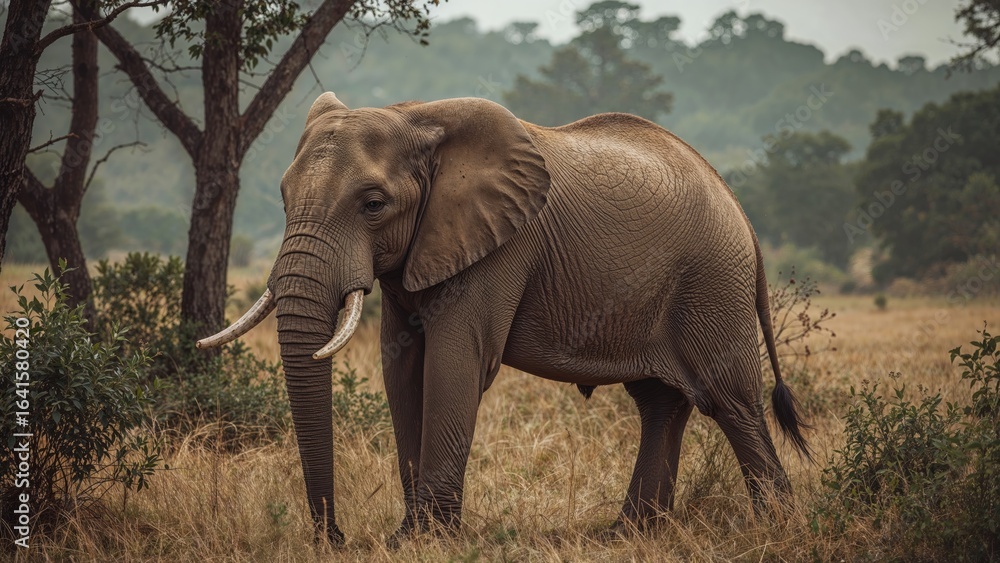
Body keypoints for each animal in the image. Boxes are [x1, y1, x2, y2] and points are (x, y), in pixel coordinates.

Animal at [197, 92, 810, 545]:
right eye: (282, 199)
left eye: (373, 204)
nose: (337, 539)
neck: (413, 115)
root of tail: (740, 210)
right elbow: (403, 367)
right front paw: (407, 537)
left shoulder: (502, 247)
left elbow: (455, 362)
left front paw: (428, 541)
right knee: (661, 404)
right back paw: (629, 535)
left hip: (711, 282)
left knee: (731, 403)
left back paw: (779, 529)